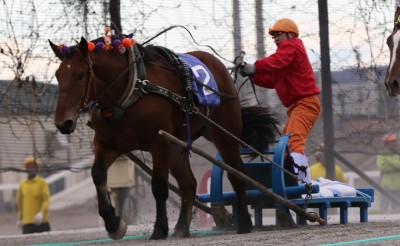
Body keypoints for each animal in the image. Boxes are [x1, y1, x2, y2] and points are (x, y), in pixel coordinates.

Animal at [48, 31, 278, 239]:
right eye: (58, 75)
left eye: (80, 75)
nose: (63, 122)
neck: (132, 90)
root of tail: (218, 65)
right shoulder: (107, 144)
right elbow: (97, 174)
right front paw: (113, 222)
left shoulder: (159, 143)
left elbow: (159, 186)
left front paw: (159, 229)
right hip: (178, 143)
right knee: (188, 184)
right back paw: (182, 227)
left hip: (224, 132)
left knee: (236, 173)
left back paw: (245, 222)